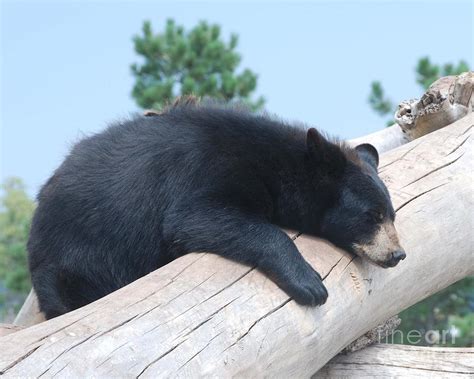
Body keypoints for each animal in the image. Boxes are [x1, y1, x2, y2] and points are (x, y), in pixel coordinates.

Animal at [26, 99, 404, 320]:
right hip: (76, 255)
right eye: (371, 215)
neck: (279, 166)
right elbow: (196, 216)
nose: (397, 254)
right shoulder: (207, 169)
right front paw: (310, 284)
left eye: (392, 214)